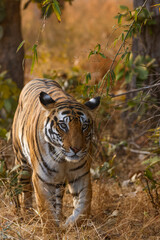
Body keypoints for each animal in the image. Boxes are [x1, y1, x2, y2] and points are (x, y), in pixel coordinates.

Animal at [12, 79, 100, 229]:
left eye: (84, 126)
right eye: (63, 126)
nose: (76, 149)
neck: (63, 160)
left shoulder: (81, 175)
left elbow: (83, 207)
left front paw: (69, 224)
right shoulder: (42, 178)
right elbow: (46, 209)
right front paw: (51, 229)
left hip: (58, 180)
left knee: (58, 197)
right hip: (21, 162)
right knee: (25, 189)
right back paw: (27, 214)